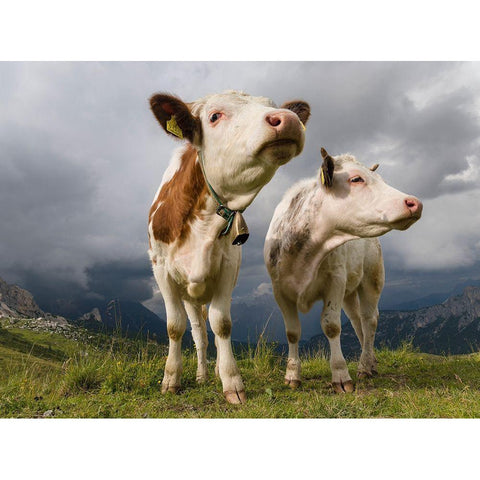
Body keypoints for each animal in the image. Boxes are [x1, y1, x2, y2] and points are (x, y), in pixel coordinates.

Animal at [148, 89, 310, 402]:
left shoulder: (228, 268)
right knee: (198, 334)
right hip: (189, 296)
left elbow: (222, 324)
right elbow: (175, 327)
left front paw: (231, 382)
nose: (287, 119)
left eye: (272, 106)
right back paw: (200, 374)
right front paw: (171, 379)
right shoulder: (161, 269)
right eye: (214, 116)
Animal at [264, 150, 422, 394]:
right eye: (355, 179)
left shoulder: (335, 282)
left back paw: (365, 366)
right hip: (349, 292)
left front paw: (340, 375)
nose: (414, 203)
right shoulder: (279, 290)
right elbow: (292, 332)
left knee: (369, 319)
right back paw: (371, 362)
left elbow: (331, 326)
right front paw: (292, 375)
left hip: (372, 279)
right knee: (357, 321)